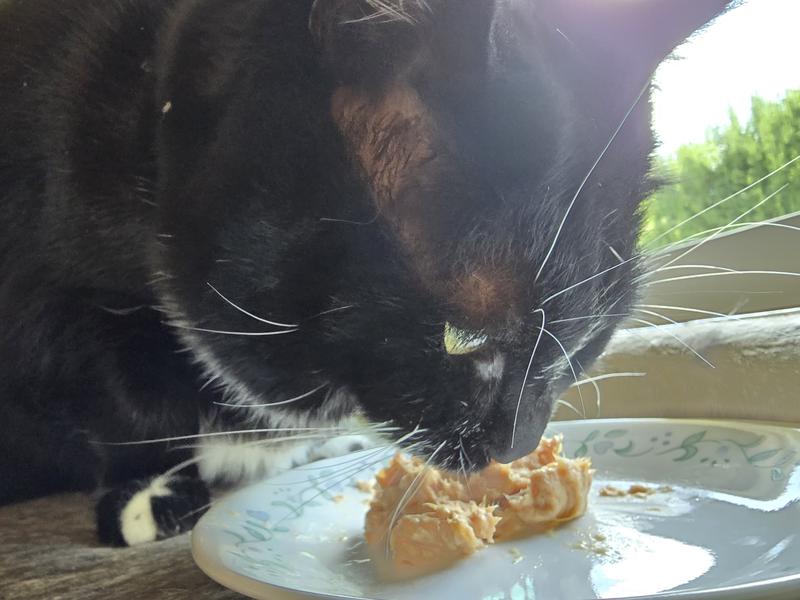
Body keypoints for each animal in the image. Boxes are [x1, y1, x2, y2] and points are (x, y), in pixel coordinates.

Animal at [0, 0, 732, 546]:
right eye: (464, 337)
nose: (517, 444)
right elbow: (127, 397)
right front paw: (151, 489)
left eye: (587, 343)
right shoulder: (58, 297)